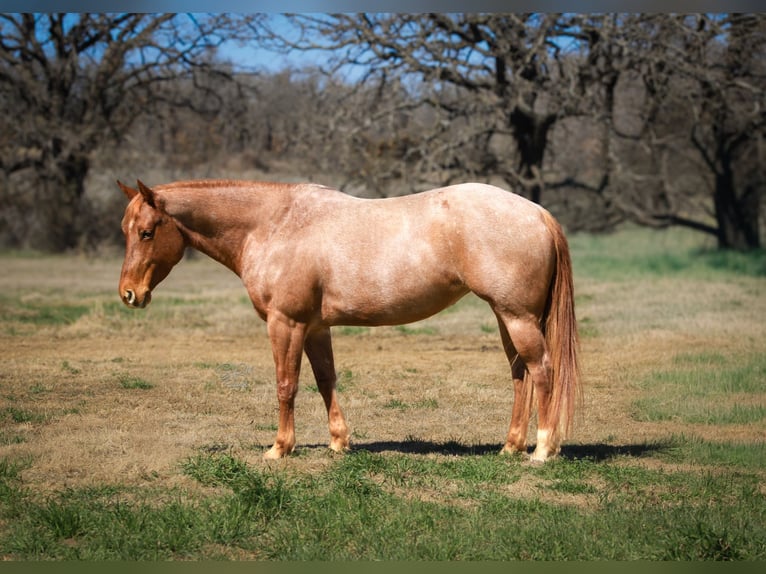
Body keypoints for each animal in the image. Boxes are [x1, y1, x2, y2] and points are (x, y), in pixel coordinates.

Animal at [117, 179, 580, 462]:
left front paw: (280, 449)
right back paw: (510, 447)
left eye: (146, 231)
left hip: (518, 318)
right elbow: (326, 380)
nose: (129, 294)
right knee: (520, 375)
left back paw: (542, 451)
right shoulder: (315, 327)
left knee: (542, 371)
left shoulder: (285, 323)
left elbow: (286, 385)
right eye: (126, 229)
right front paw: (339, 443)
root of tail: (538, 213)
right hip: (507, 318)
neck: (275, 224)